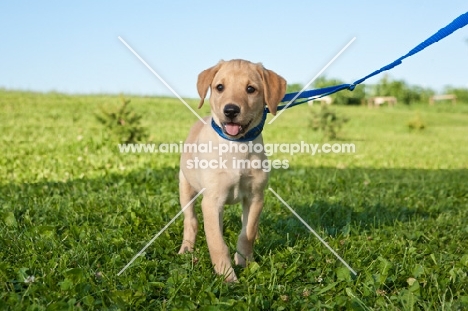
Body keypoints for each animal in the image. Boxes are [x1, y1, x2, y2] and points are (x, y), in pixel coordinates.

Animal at [178, 59, 286, 282]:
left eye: (250, 89)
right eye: (220, 87)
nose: (230, 110)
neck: (237, 146)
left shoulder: (255, 197)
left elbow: (247, 233)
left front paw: (245, 263)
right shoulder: (211, 200)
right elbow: (217, 243)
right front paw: (227, 277)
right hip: (185, 187)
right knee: (191, 221)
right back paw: (186, 249)